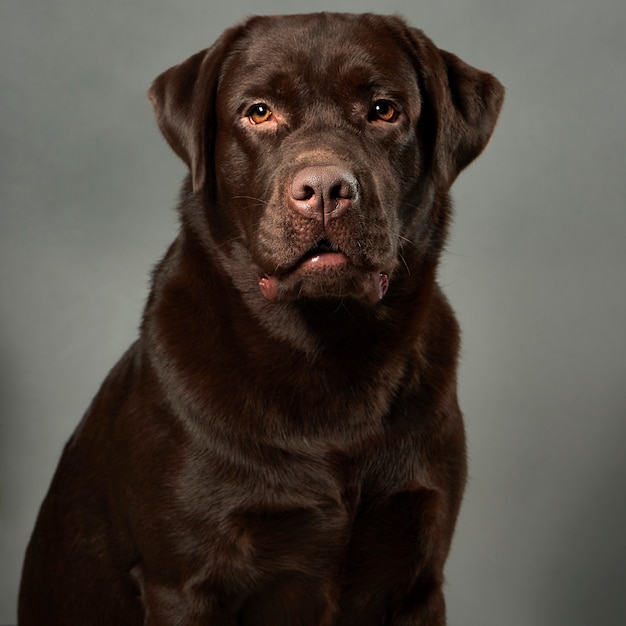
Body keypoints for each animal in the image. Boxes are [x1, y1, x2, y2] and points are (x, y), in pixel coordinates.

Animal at [18, 12, 502, 620]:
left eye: (383, 110)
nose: (325, 190)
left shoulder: (417, 575)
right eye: (259, 112)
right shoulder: (185, 584)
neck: (328, 353)